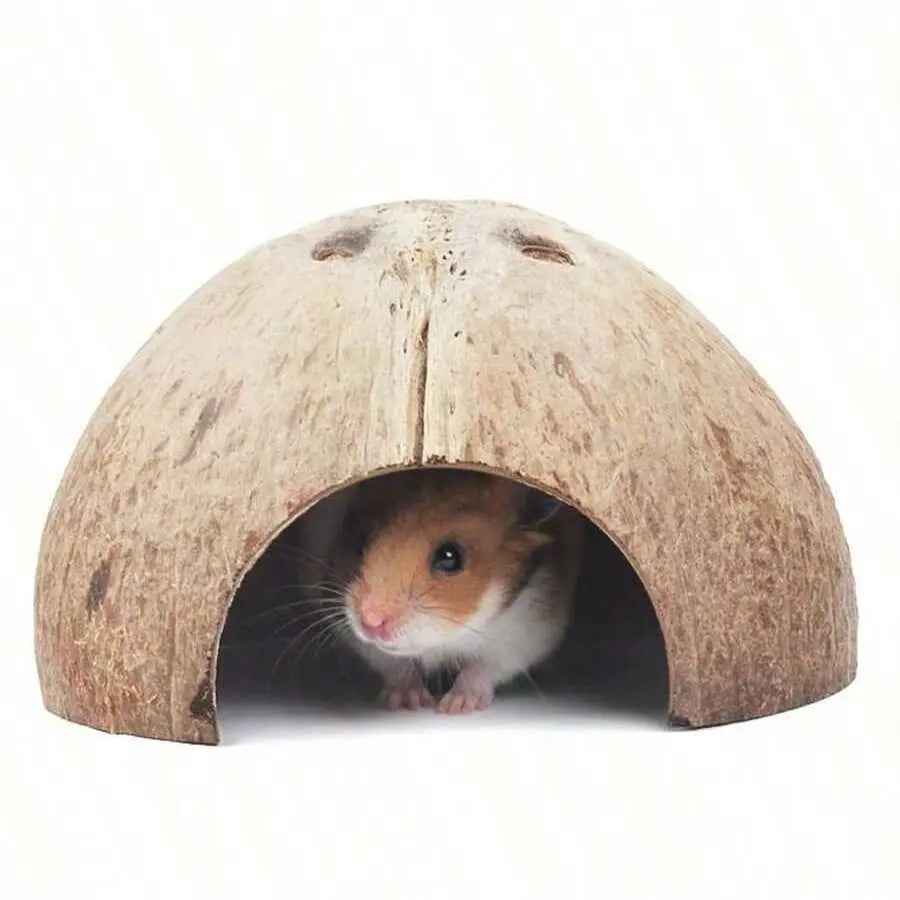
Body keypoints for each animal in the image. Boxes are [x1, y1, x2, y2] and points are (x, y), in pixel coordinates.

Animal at [295, 469, 582, 714]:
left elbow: (484, 668)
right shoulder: (353, 632)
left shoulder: (529, 632)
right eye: (361, 541)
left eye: (449, 557)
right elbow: (395, 664)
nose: (371, 623)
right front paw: (408, 703)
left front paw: (455, 707)